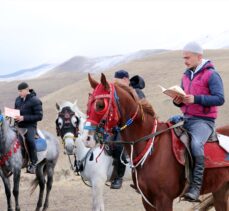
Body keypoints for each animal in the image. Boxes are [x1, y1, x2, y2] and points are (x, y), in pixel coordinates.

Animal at [85, 73, 229, 210]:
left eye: (100, 105)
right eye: (88, 105)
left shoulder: (164, 199)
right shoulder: (147, 201)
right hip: (220, 190)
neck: (151, 146)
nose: (87, 138)